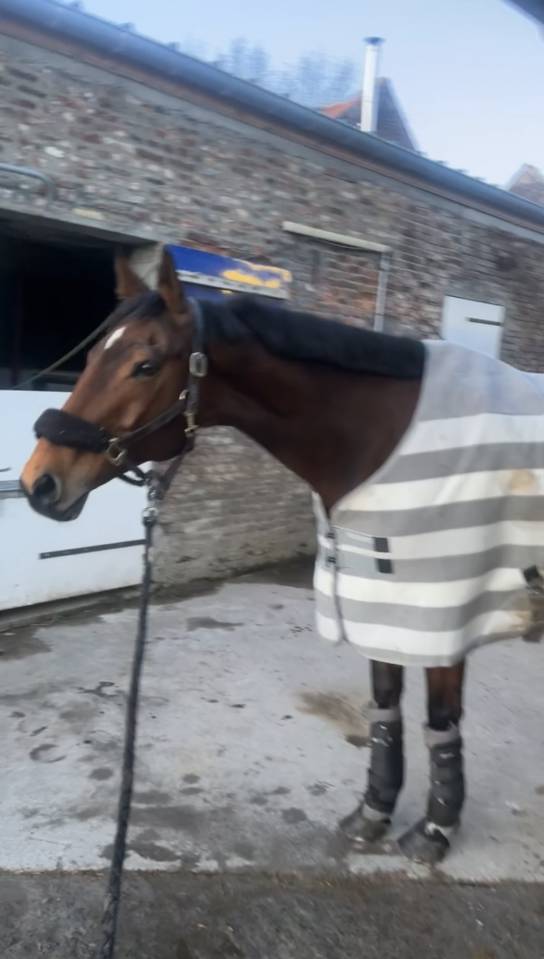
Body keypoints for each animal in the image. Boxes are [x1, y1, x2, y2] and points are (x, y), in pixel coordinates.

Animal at [20, 247, 544, 865]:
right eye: (92, 355)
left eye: (144, 365)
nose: (39, 483)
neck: (379, 436)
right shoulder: (379, 601)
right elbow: (385, 707)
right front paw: (373, 812)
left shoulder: (444, 612)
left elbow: (441, 720)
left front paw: (436, 828)